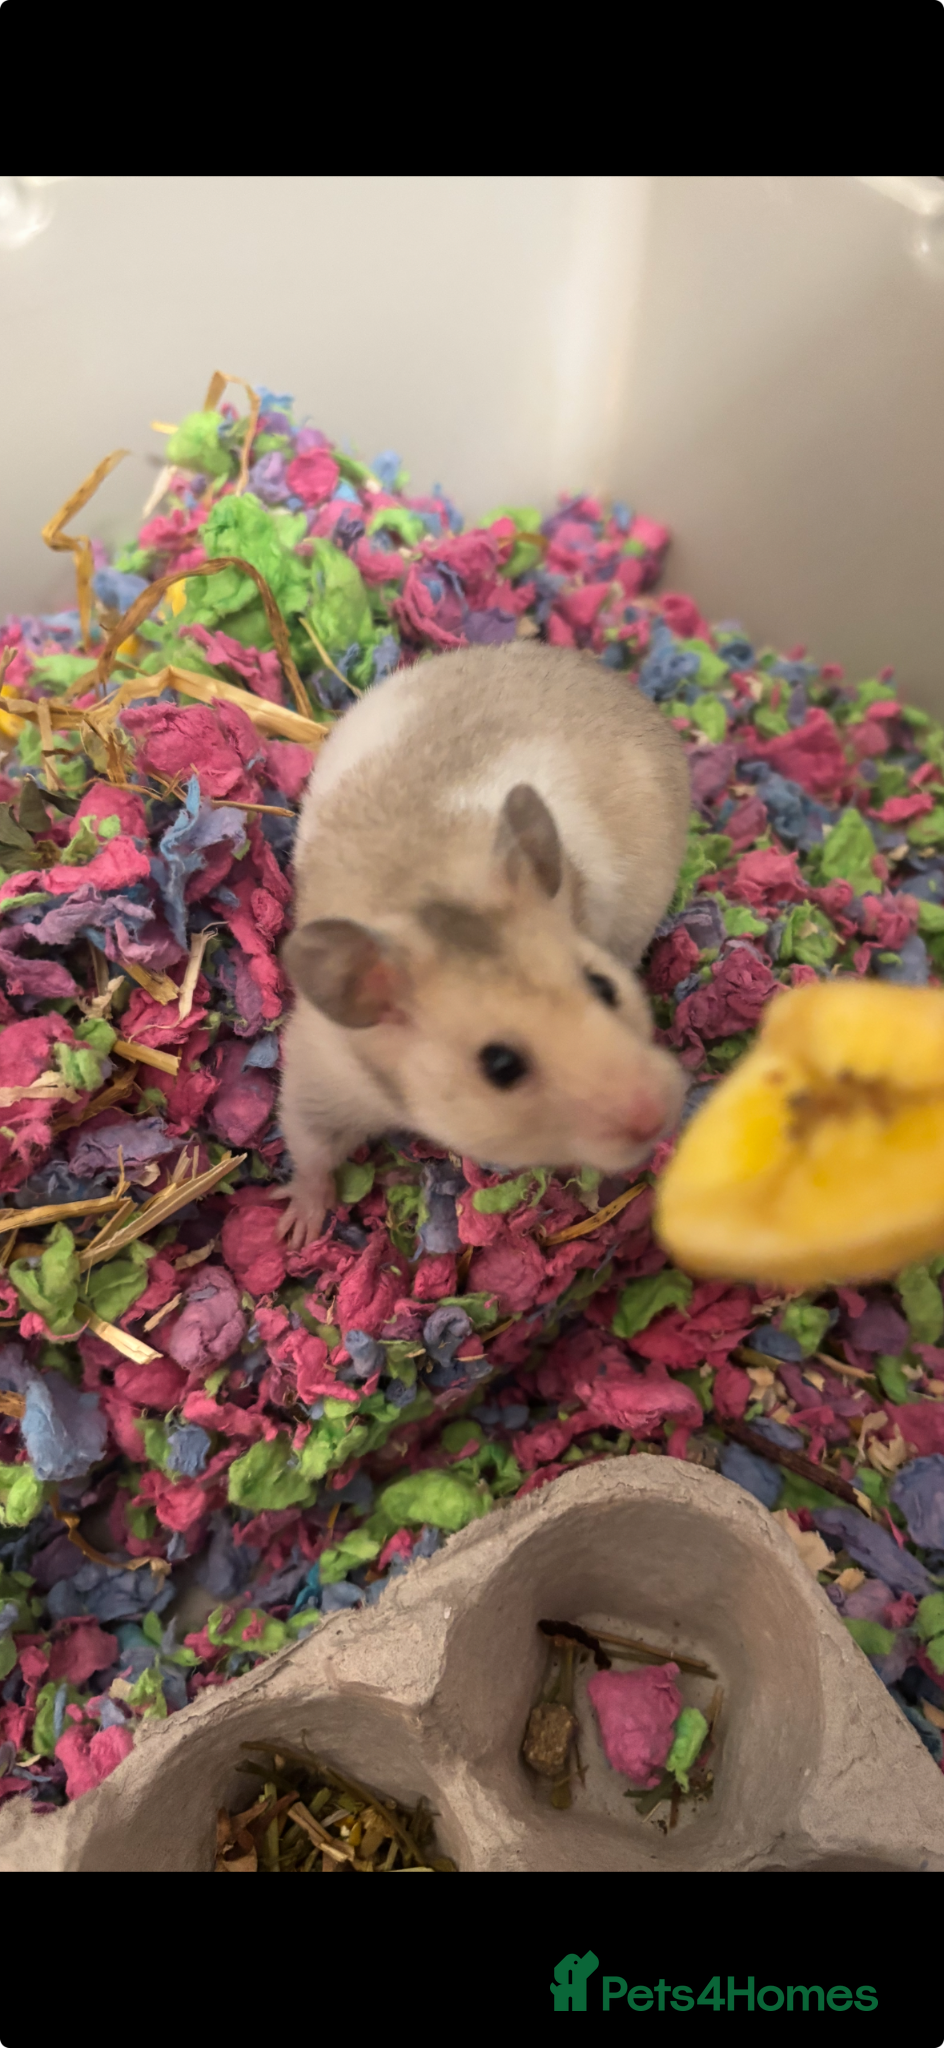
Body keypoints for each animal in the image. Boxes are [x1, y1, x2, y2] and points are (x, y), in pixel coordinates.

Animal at [275, 640, 691, 1247]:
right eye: (500, 1066)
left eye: (604, 987)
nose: (660, 1113)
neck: (431, 894)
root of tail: (617, 683)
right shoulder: (321, 1074)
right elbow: (309, 1149)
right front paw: (297, 1232)